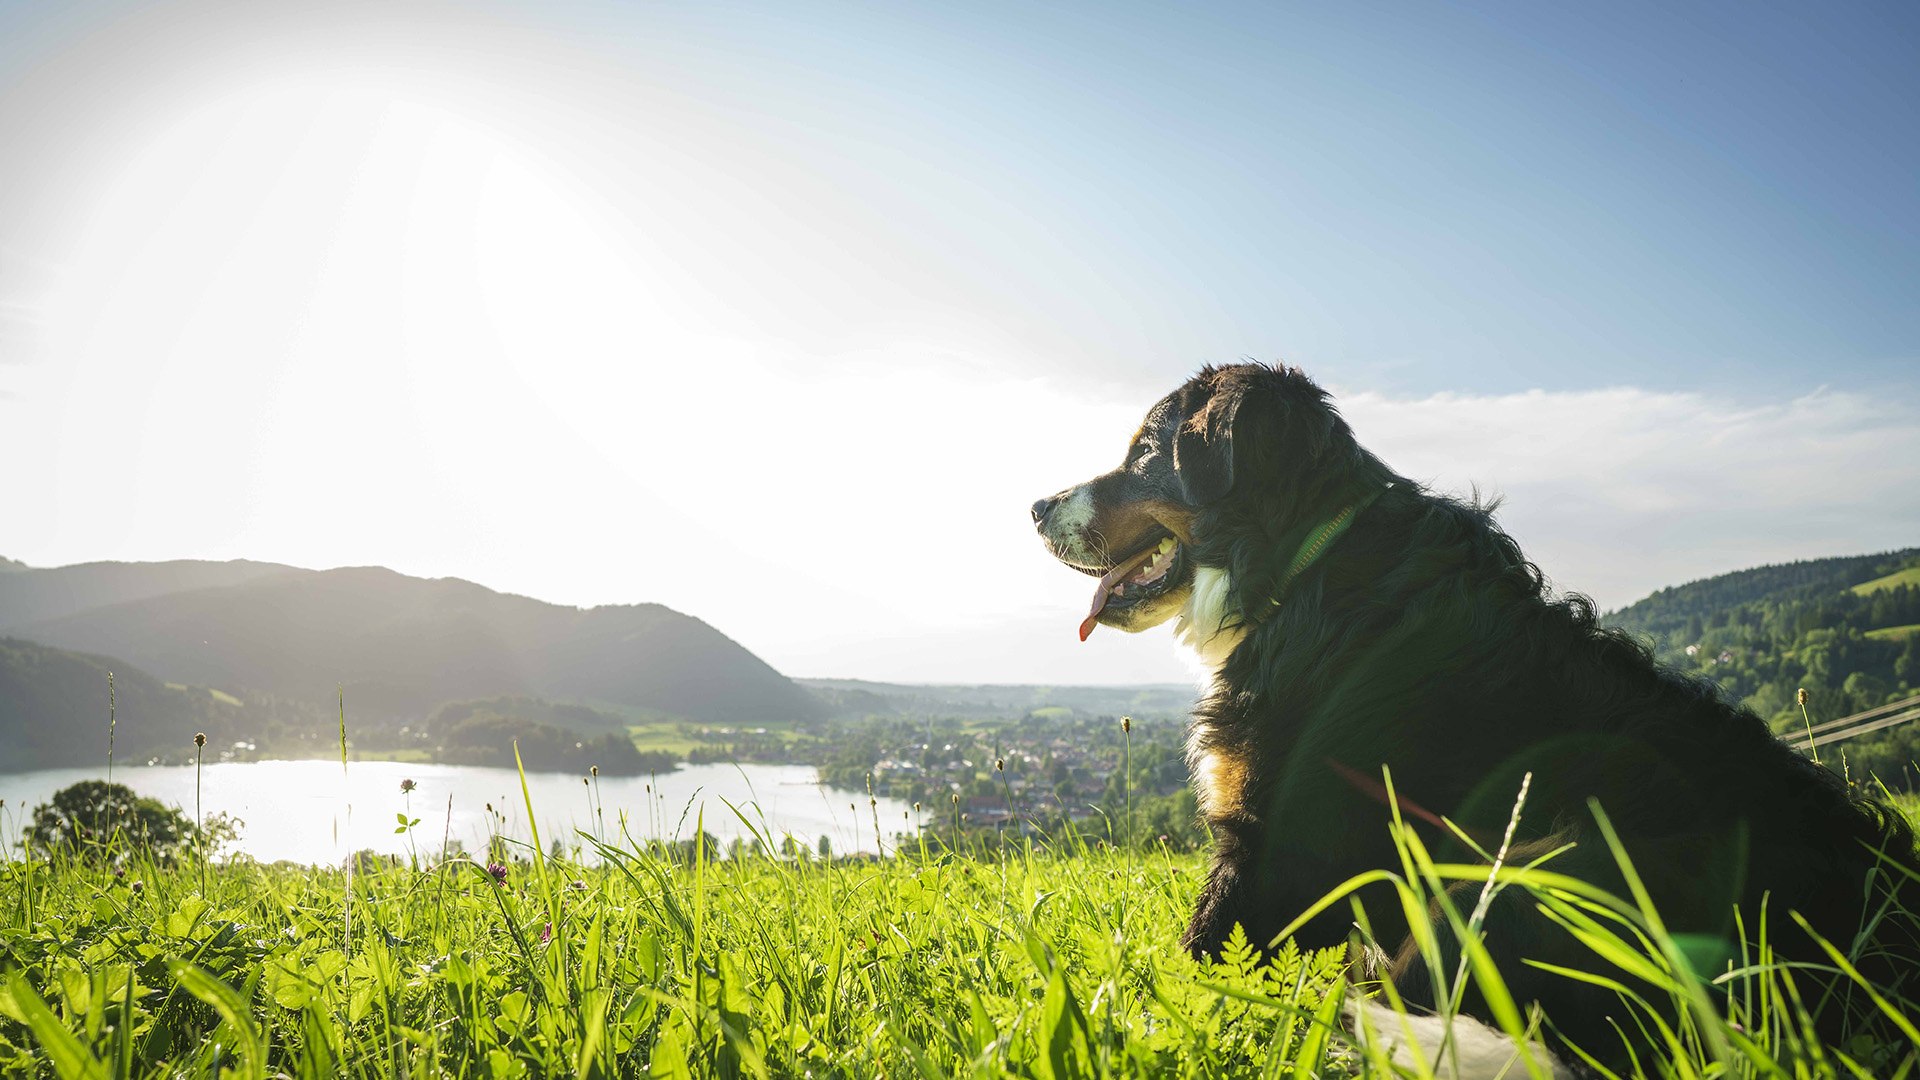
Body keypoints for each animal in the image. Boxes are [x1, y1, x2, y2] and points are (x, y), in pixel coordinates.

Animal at [1036, 361, 1920, 1068]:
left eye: (1144, 452)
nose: (1037, 505)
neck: (1306, 567)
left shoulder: (1270, 854)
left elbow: (1187, 966)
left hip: (1526, 867)